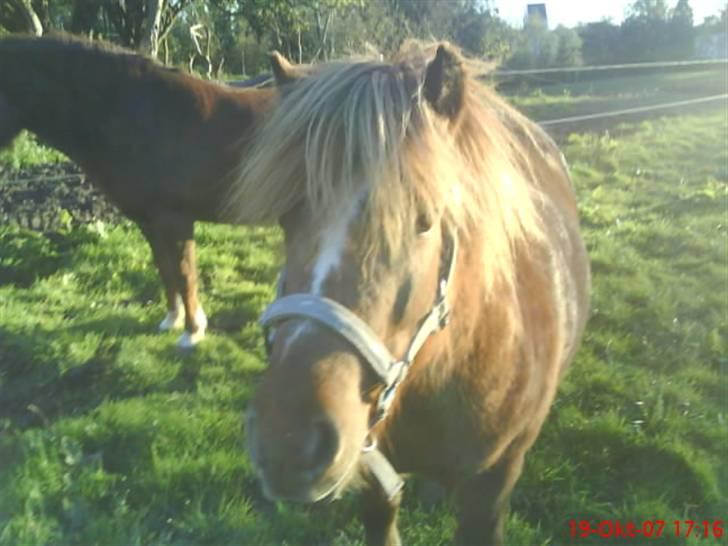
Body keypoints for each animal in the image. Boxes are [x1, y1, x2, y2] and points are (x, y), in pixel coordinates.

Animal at [1, 35, 292, 344]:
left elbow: (184, 273)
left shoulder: (175, 220)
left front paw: (192, 332)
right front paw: (173, 319)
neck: (141, 115)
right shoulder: (150, 222)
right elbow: (165, 270)